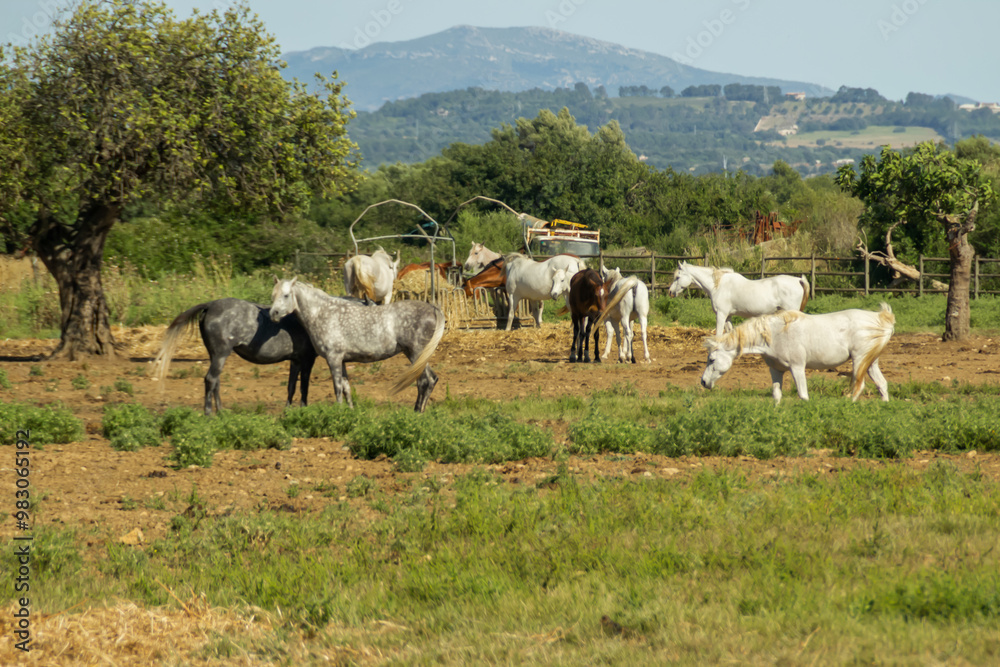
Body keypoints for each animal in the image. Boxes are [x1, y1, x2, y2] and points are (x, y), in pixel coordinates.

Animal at [151, 298, 317, 416]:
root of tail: (210, 305)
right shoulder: (307, 360)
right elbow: (304, 387)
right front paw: (304, 410)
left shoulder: (296, 361)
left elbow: (291, 387)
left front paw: (287, 412)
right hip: (221, 354)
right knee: (210, 379)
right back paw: (209, 414)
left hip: (214, 355)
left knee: (216, 382)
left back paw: (221, 412)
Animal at [269, 278, 446, 412]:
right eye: (273, 295)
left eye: (286, 295)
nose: (273, 314)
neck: (322, 313)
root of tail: (432, 308)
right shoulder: (342, 361)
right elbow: (346, 388)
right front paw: (350, 412)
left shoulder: (333, 359)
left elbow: (337, 387)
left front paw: (339, 412)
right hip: (413, 354)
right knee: (428, 380)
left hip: (416, 353)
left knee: (426, 380)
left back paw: (418, 413)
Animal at [667, 261, 810, 336]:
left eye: (677, 277)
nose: (670, 292)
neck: (718, 286)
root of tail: (799, 280)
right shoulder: (728, 316)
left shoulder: (721, 314)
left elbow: (719, 334)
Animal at [700, 304, 895, 404]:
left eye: (711, 359)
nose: (703, 382)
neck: (775, 334)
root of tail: (881, 318)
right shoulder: (776, 370)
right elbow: (776, 395)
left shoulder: (797, 367)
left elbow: (803, 395)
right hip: (870, 362)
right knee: (882, 384)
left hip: (860, 360)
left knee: (859, 387)